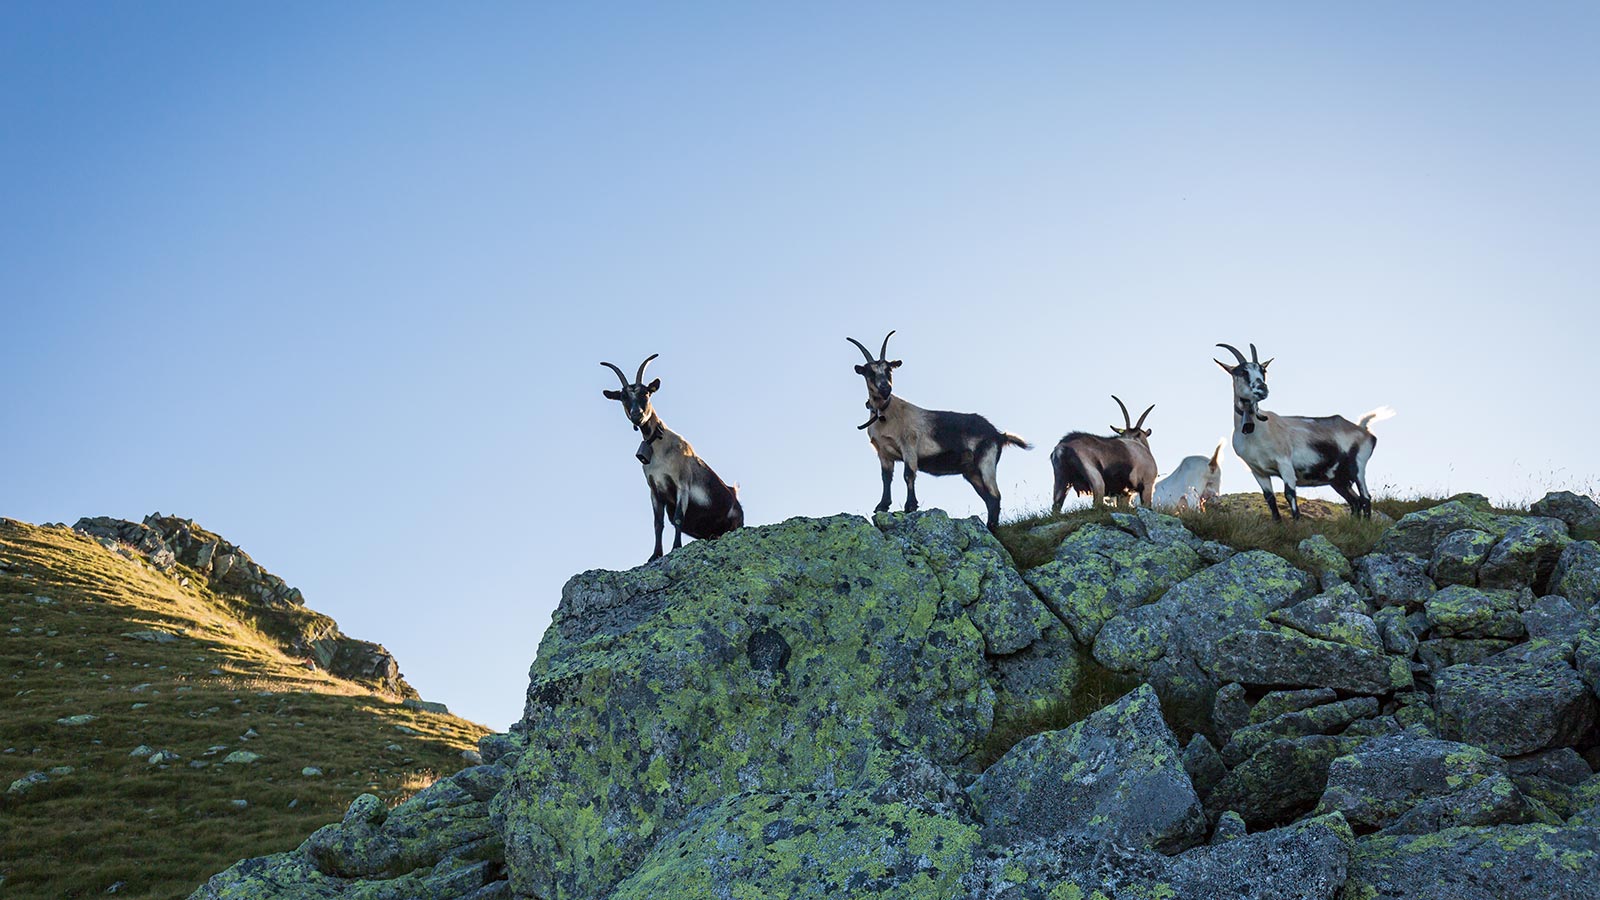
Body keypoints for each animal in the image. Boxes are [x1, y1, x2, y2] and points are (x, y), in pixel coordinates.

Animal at [601, 353, 745, 557]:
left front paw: (676, 547)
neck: (660, 448)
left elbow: (678, 518)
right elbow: (658, 523)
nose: (637, 415)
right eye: (623, 397)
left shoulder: (682, 484)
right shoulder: (654, 490)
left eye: (646, 393)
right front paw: (655, 555)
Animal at [844, 328, 1030, 525]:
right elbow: (886, 478)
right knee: (988, 498)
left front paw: (910, 506)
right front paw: (882, 506)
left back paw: (991, 527)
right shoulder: (883, 452)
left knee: (995, 496)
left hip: (986, 460)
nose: (886, 388)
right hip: (971, 471)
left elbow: (909, 474)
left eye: (889, 370)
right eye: (869, 372)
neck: (885, 413)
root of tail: (998, 434)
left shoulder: (908, 444)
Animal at [1216, 337, 1395, 518]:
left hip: (1358, 466)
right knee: (1355, 501)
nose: (1262, 389)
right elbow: (1270, 500)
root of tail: (1364, 431)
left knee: (1365, 498)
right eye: (1243, 372)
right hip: (1339, 480)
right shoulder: (1258, 471)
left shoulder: (1285, 464)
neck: (1257, 432)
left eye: (1263, 371)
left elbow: (1289, 494)